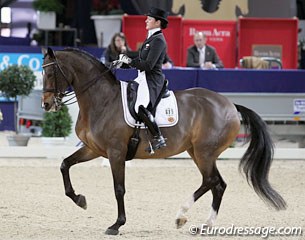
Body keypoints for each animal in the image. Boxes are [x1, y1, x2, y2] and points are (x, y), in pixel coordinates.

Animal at [40, 47, 284, 235]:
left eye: (51, 73)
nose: (46, 104)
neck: (102, 100)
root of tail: (231, 105)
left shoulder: (115, 152)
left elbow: (119, 188)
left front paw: (117, 224)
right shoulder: (93, 149)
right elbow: (64, 165)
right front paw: (80, 199)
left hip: (204, 153)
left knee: (211, 181)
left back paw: (181, 215)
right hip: (197, 152)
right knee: (218, 184)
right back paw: (204, 224)